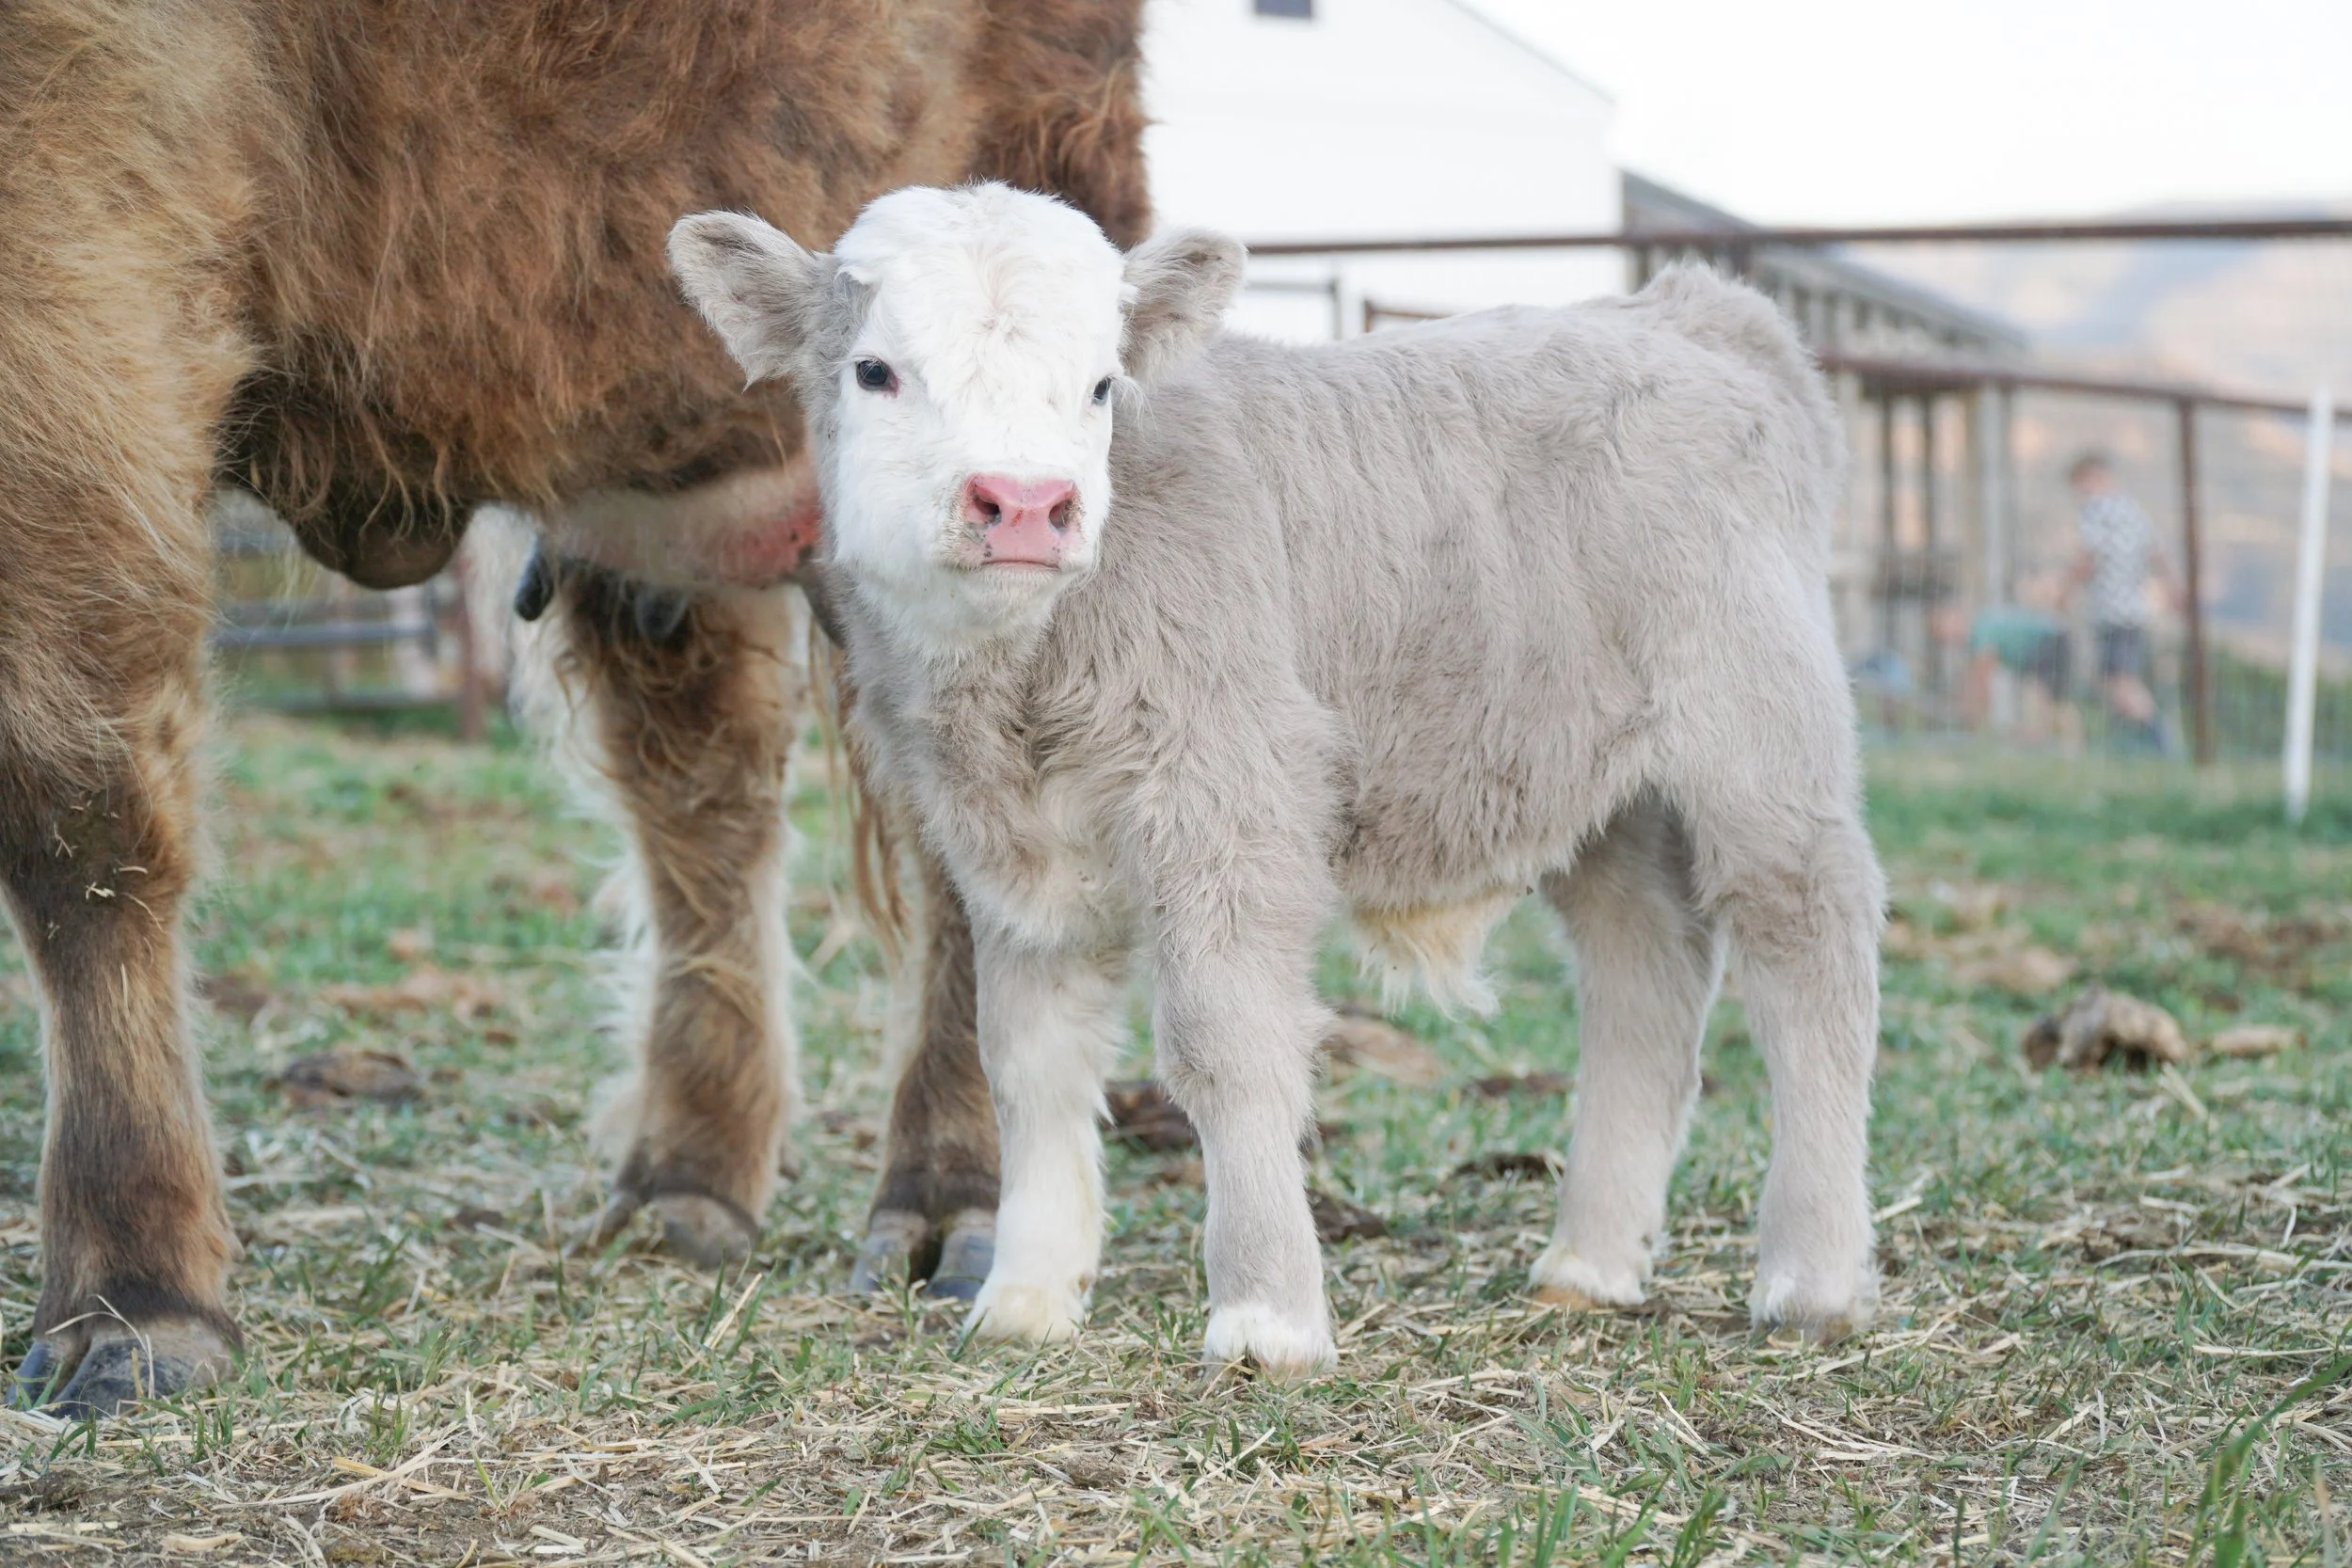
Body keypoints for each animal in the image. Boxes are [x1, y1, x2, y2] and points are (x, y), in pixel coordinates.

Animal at [0, 0, 1146, 1415]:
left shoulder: (80, 210)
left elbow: (80, 813)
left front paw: (133, 1301)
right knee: (702, 792)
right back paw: (686, 1183)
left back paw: (954, 1199)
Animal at [668, 183, 1888, 1376]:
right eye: (875, 369)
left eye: (1101, 382)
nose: (1022, 501)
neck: (1017, 683)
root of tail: (1685, 310)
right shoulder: (1006, 855)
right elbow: (1024, 1055)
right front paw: (1024, 1297)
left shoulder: (1227, 796)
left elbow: (1226, 1039)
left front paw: (1266, 1314)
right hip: (1600, 786)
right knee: (1644, 970)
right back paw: (1590, 1261)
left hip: (1757, 734)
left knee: (1807, 941)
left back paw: (1812, 1278)